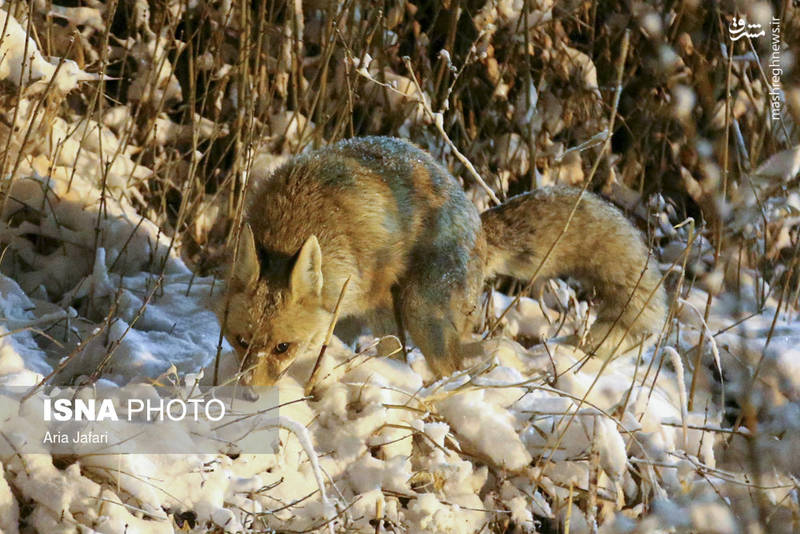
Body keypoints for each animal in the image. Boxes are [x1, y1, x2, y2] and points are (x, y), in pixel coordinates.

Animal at [219, 136, 668, 388]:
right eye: (240, 341)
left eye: (282, 347)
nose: (250, 393)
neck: (295, 223)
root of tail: (479, 224)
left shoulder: (378, 295)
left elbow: (393, 353)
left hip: (421, 307)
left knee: (452, 366)